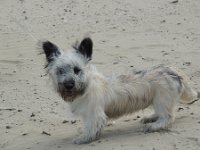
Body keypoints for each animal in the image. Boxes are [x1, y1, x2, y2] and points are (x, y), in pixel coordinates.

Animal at [40, 37, 198, 144]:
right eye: (60, 71)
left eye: (77, 70)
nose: (68, 84)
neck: (87, 86)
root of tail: (174, 72)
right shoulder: (88, 114)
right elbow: (87, 125)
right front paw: (83, 132)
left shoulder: (95, 114)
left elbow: (91, 128)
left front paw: (83, 138)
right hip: (158, 101)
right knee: (162, 114)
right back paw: (150, 118)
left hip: (161, 100)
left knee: (168, 117)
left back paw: (154, 125)